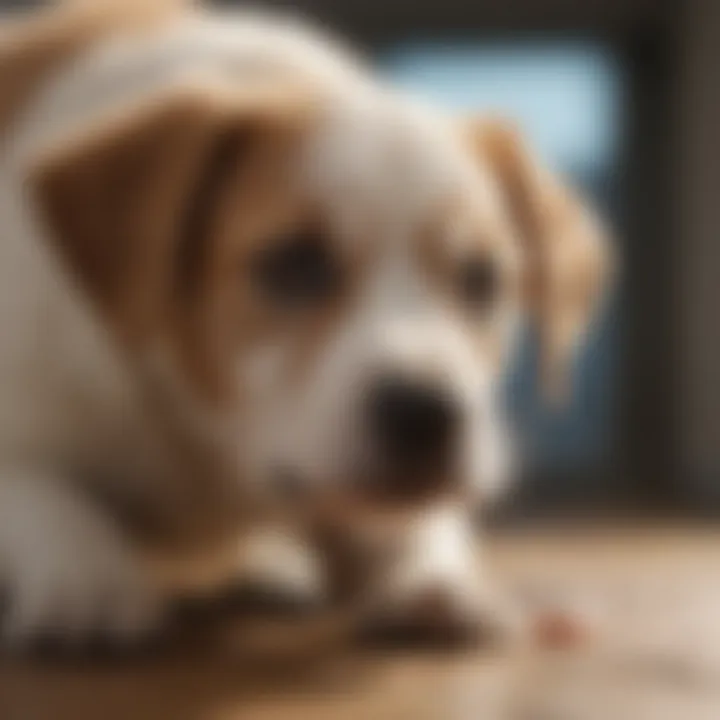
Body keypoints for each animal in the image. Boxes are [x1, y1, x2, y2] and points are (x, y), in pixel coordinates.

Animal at [0, 0, 612, 648]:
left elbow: (414, 521)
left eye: (482, 277)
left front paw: (435, 577)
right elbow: (42, 492)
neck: (204, 443)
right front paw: (84, 576)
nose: (427, 411)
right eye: (294, 263)